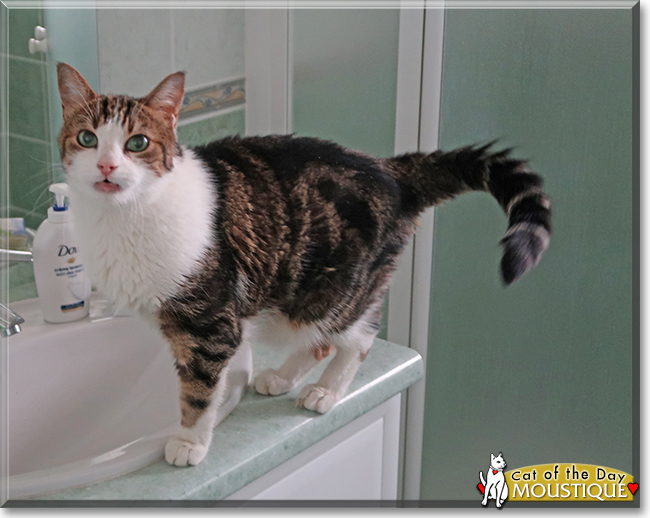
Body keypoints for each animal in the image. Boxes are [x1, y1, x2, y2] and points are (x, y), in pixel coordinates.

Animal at [57, 63, 552, 470]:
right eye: (87, 138)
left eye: (137, 142)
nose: (106, 166)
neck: (122, 218)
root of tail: (391, 170)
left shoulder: (211, 323)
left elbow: (199, 390)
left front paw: (190, 442)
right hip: (296, 297)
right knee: (318, 340)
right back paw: (281, 376)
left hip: (336, 291)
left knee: (358, 334)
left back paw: (326, 390)